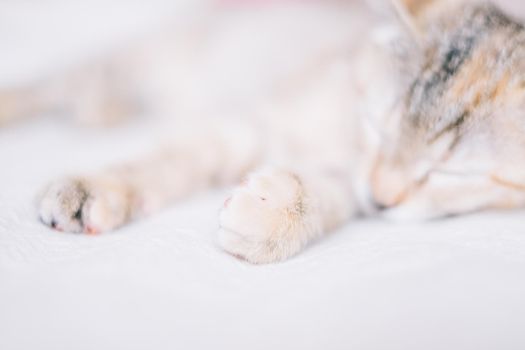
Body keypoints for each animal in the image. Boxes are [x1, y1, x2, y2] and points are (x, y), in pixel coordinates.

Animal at [10, 0, 524, 262]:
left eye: (451, 174)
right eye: (377, 126)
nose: (382, 201)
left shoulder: (352, 184)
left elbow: (329, 197)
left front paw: (272, 215)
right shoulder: (252, 119)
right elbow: (174, 159)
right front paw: (95, 188)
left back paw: (102, 110)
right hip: (141, 57)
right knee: (53, 85)